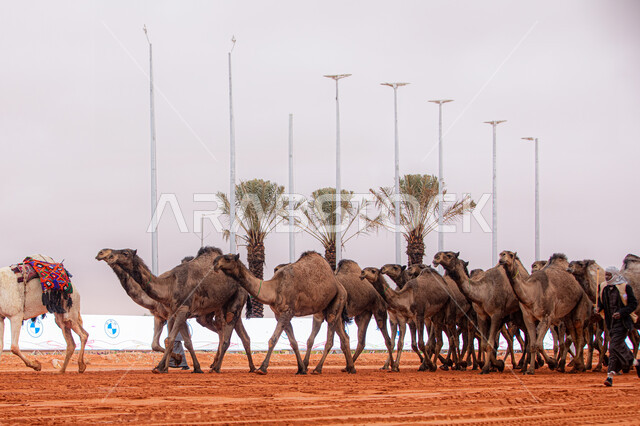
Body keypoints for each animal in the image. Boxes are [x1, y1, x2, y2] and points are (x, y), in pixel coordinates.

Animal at [99, 247, 254, 374]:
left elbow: (170, 339)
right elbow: (176, 342)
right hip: (218, 310)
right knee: (239, 335)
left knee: (226, 334)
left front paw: (162, 367)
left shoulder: (179, 311)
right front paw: (194, 367)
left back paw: (217, 368)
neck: (169, 287)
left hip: (232, 304)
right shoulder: (171, 314)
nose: (103, 253)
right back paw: (250, 367)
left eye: (125, 253)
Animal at [213, 251, 355, 375]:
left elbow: (273, 339)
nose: (215, 263)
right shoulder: (280, 314)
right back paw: (351, 368)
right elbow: (293, 342)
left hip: (336, 303)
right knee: (344, 337)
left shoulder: (287, 311)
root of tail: (341, 287)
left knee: (330, 340)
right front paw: (301, 369)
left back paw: (318, 369)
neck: (274, 289)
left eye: (227, 258)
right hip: (330, 310)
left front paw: (262, 368)